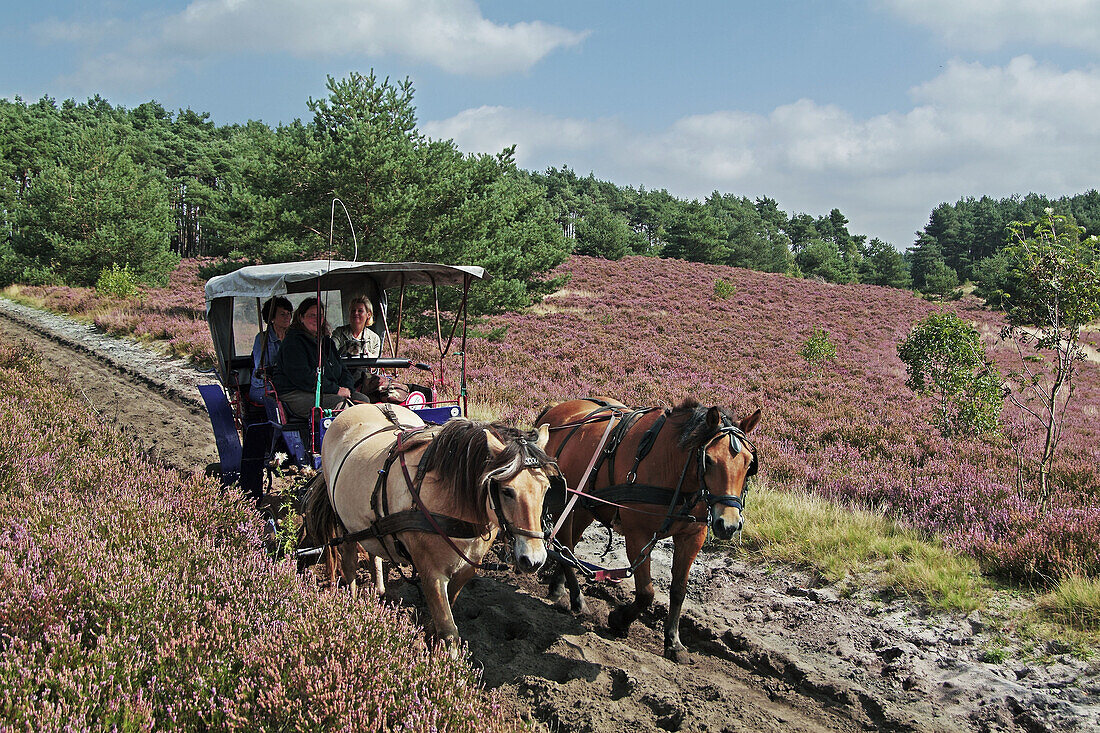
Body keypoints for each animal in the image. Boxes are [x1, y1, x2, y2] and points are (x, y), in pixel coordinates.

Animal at [301, 402, 554, 647]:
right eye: (507, 491)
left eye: (546, 488)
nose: (533, 560)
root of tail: (357, 406)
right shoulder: (431, 572)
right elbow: (449, 632)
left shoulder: (466, 568)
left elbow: (449, 605)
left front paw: (430, 633)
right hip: (343, 523)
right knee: (350, 562)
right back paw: (352, 606)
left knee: (373, 547)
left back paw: (378, 589)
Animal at [536, 396, 761, 660]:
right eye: (708, 459)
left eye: (749, 463)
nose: (729, 524)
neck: (672, 468)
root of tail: (556, 408)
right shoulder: (637, 535)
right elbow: (646, 592)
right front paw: (619, 619)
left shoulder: (692, 536)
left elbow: (678, 590)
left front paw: (673, 642)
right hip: (562, 499)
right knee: (565, 540)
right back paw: (578, 599)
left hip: (583, 505)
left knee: (567, 543)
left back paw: (560, 588)